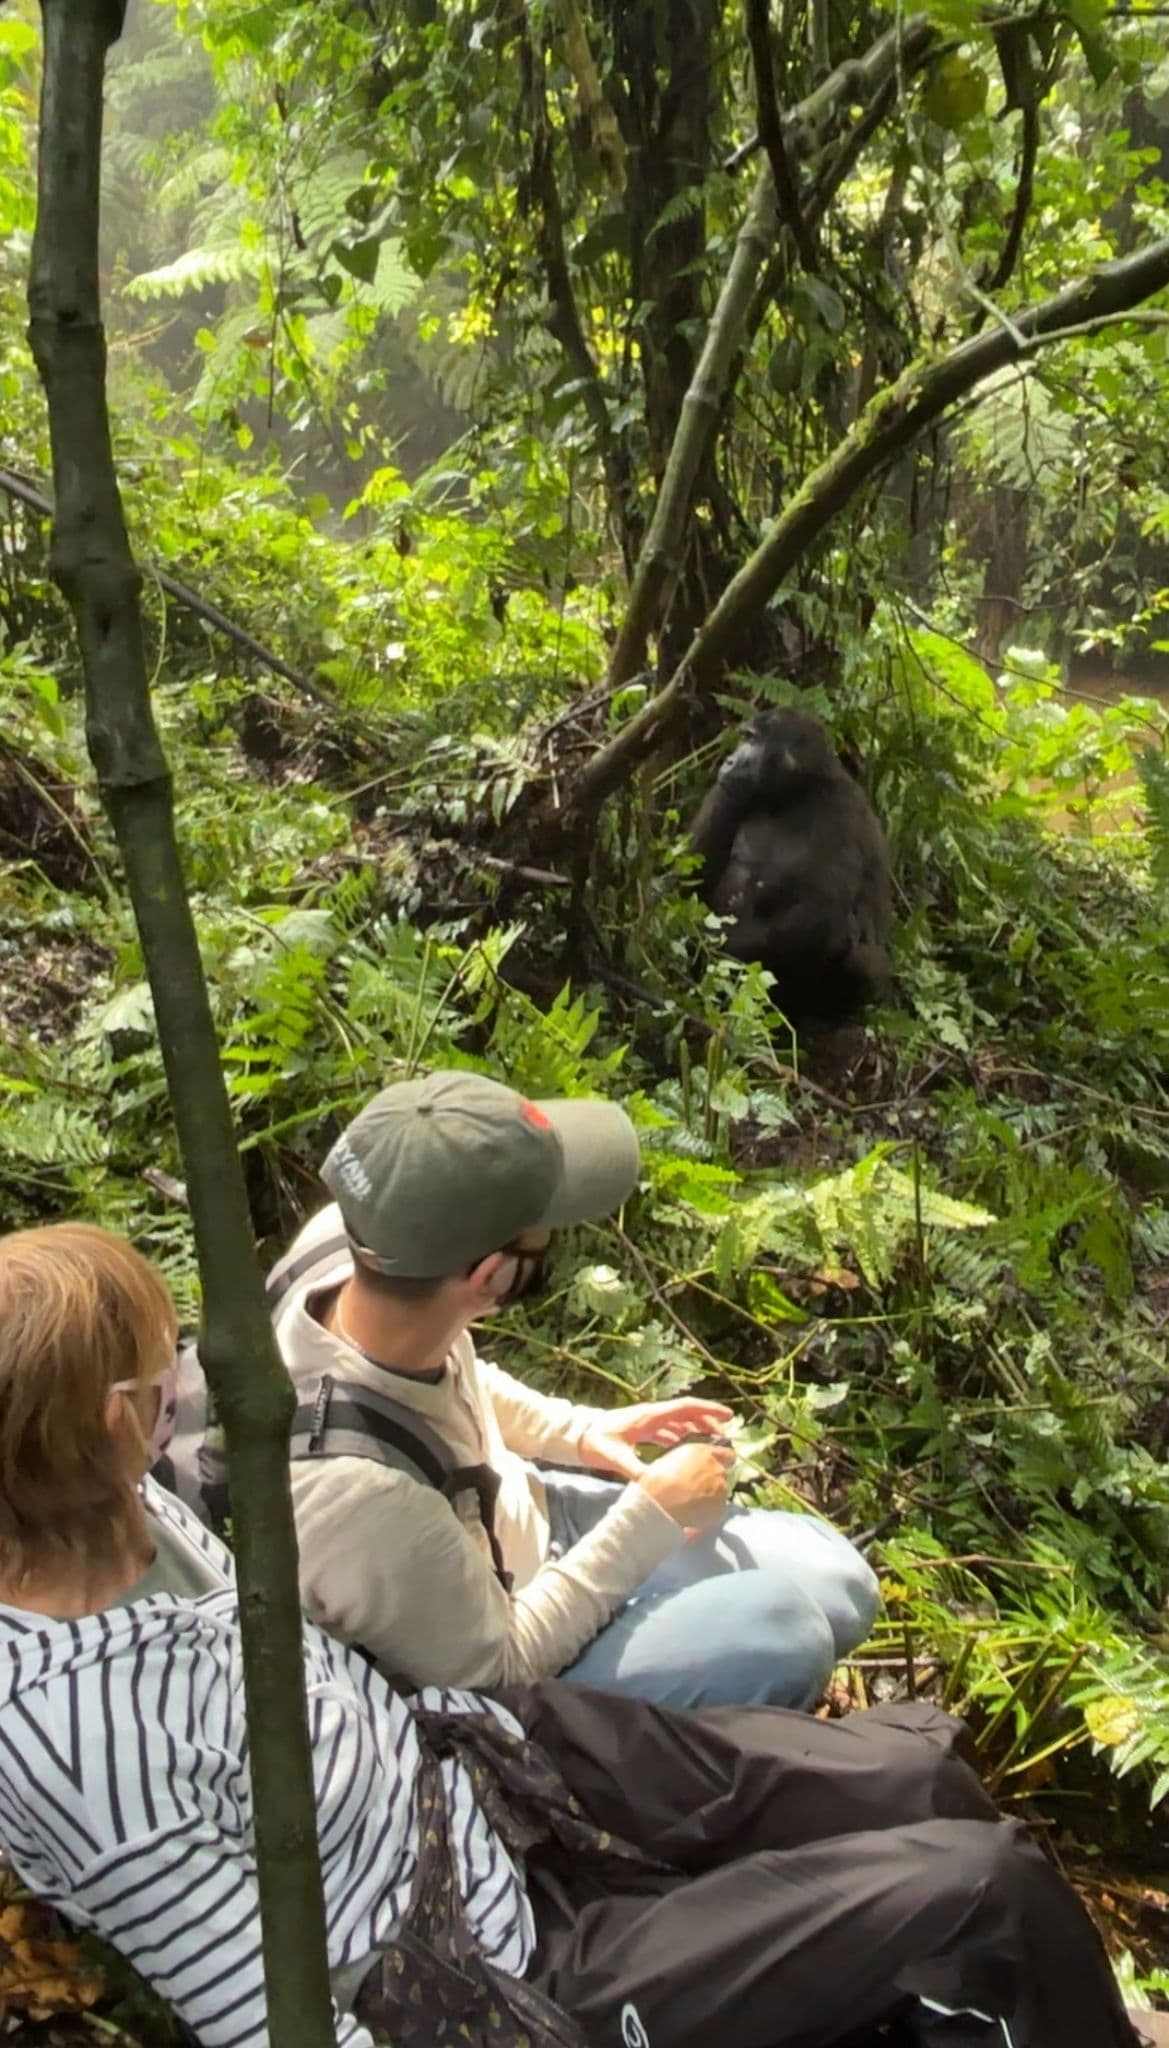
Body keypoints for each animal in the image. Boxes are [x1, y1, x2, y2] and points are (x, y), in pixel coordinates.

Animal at [689, 708, 893, 1029]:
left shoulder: (842, 812)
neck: (798, 791)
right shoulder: (727, 793)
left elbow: (819, 912)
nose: (729, 761)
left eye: (751, 739)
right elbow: (692, 878)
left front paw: (722, 951)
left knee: (861, 960)